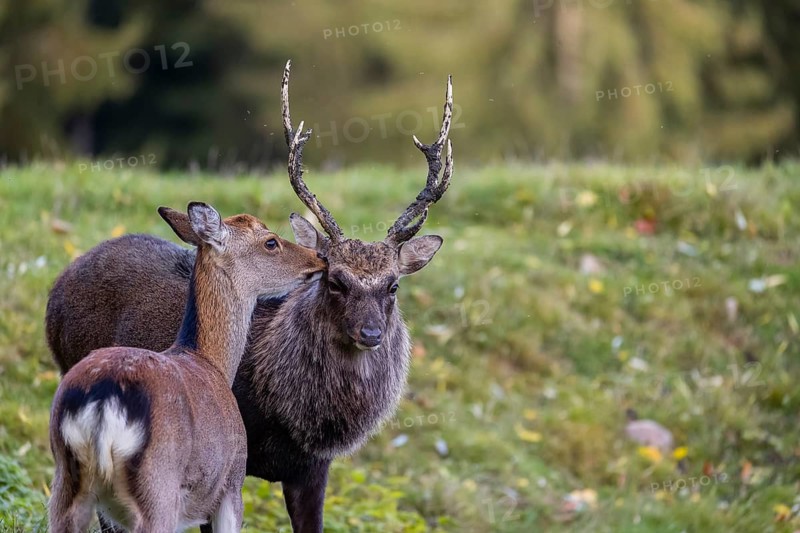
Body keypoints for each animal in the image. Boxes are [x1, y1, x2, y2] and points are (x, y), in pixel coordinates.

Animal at [47, 202, 326, 533]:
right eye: (271, 241)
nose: (320, 258)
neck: (211, 361)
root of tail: (102, 401)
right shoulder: (232, 483)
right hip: (158, 492)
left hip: (64, 485)